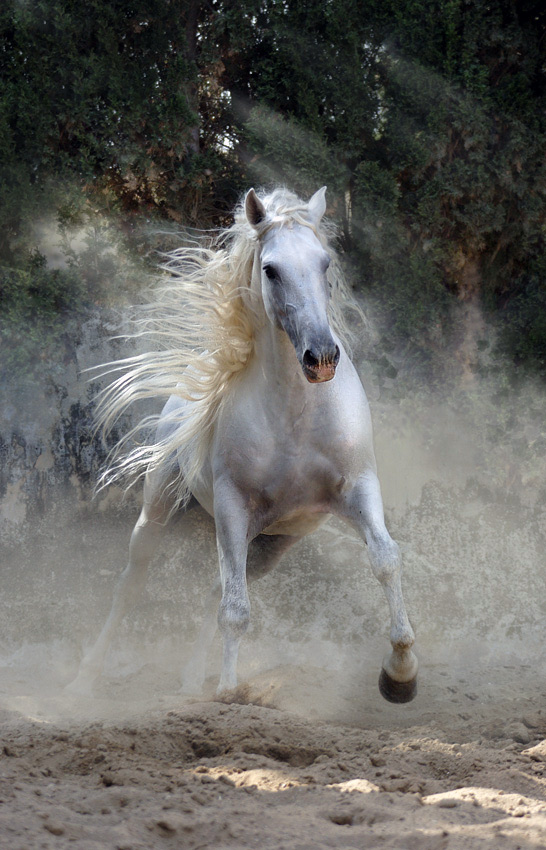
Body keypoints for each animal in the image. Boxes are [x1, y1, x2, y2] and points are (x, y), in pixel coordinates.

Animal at [68, 187, 416, 704]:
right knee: (135, 584)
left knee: (221, 587)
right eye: (270, 269)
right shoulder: (233, 504)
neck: (296, 415)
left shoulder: (356, 488)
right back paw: (85, 681)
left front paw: (400, 673)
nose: (321, 358)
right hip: (162, 511)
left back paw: (191, 682)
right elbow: (235, 612)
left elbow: (386, 560)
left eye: (325, 263)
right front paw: (230, 693)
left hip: (268, 545)